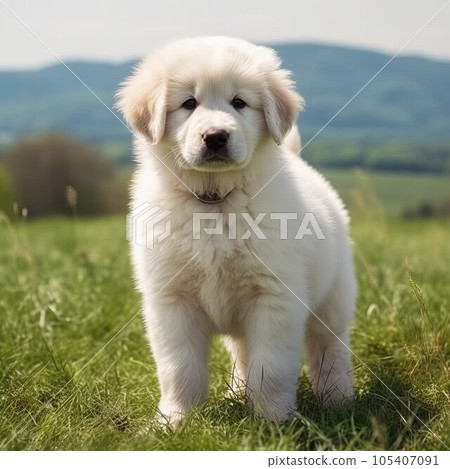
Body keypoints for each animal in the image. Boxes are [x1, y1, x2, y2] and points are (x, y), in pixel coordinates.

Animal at [118, 35, 356, 424]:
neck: (215, 201)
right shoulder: (172, 300)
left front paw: (273, 421)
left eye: (239, 103)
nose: (215, 136)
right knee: (243, 355)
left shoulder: (274, 298)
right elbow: (179, 367)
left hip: (332, 299)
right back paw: (237, 393)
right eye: (189, 103)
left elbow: (270, 368)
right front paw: (175, 420)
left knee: (329, 349)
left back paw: (338, 400)